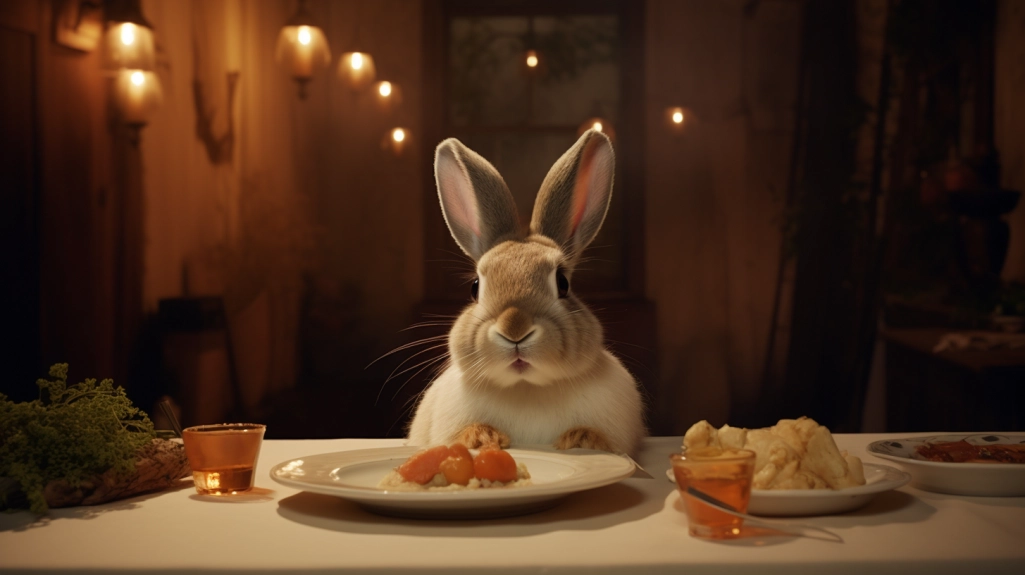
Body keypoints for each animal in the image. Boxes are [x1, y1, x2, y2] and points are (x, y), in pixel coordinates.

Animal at [406, 128, 645, 456]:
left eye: (563, 283)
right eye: (475, 287)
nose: (515, 328)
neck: (526, 387)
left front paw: (581, 439)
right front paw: (483, 438)